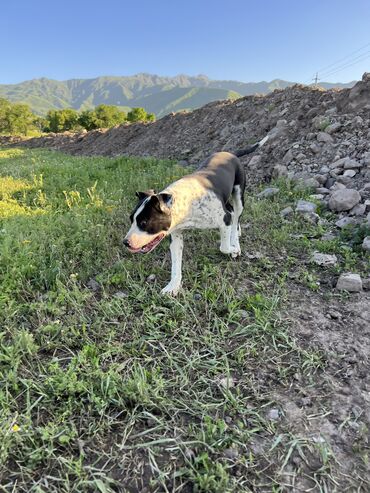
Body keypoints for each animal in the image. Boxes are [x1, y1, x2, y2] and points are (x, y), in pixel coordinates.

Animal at [124, 135, 268, 294]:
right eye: (131, 219)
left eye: (144, 223)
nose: (126, 242)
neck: (186, 204)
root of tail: (230, 153)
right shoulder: (176, 236)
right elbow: (175, 265)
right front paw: (173, 286)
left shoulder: (224, 219)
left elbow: (223, 247)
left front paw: (234, 248)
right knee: (232, 211)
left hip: (239, 194)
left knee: (236, 216)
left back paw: (235, 239)